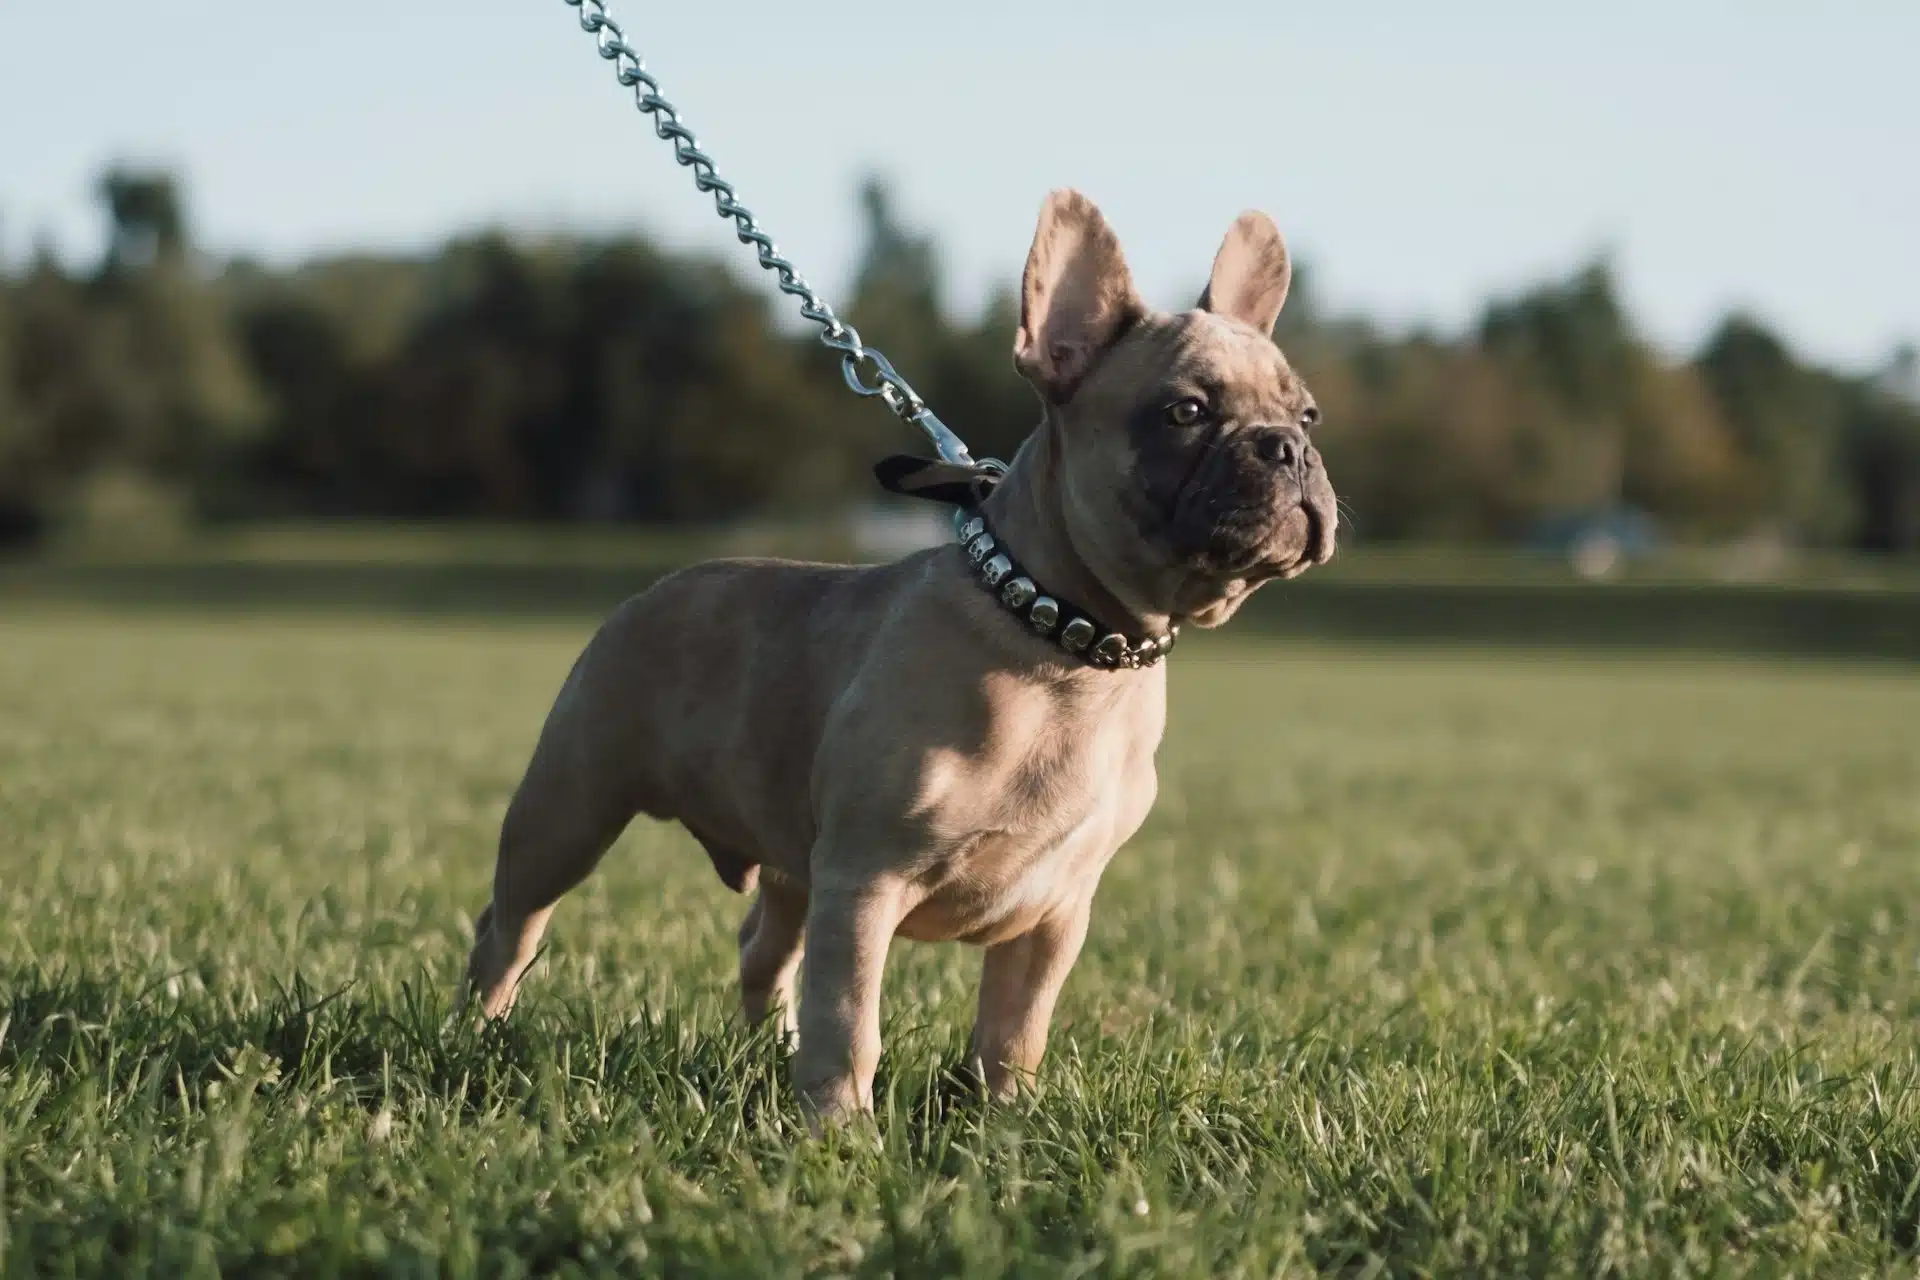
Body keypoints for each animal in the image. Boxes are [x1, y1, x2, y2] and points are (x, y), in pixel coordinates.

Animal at [464, 188, 1336, 1120]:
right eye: (1186, 413)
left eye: (1307, 415)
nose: (1289, 447)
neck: (1064, 641)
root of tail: (648, 593)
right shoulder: (865, 881)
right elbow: (853, 1024)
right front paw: (842, 1130)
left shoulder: (1055, 912)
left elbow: (1014, 1033)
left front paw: (1007, 1123)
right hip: (568, 814)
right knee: (508, 928)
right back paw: (476, 1036)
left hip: (790, 867)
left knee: (763, 949)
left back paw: (769, 1050)